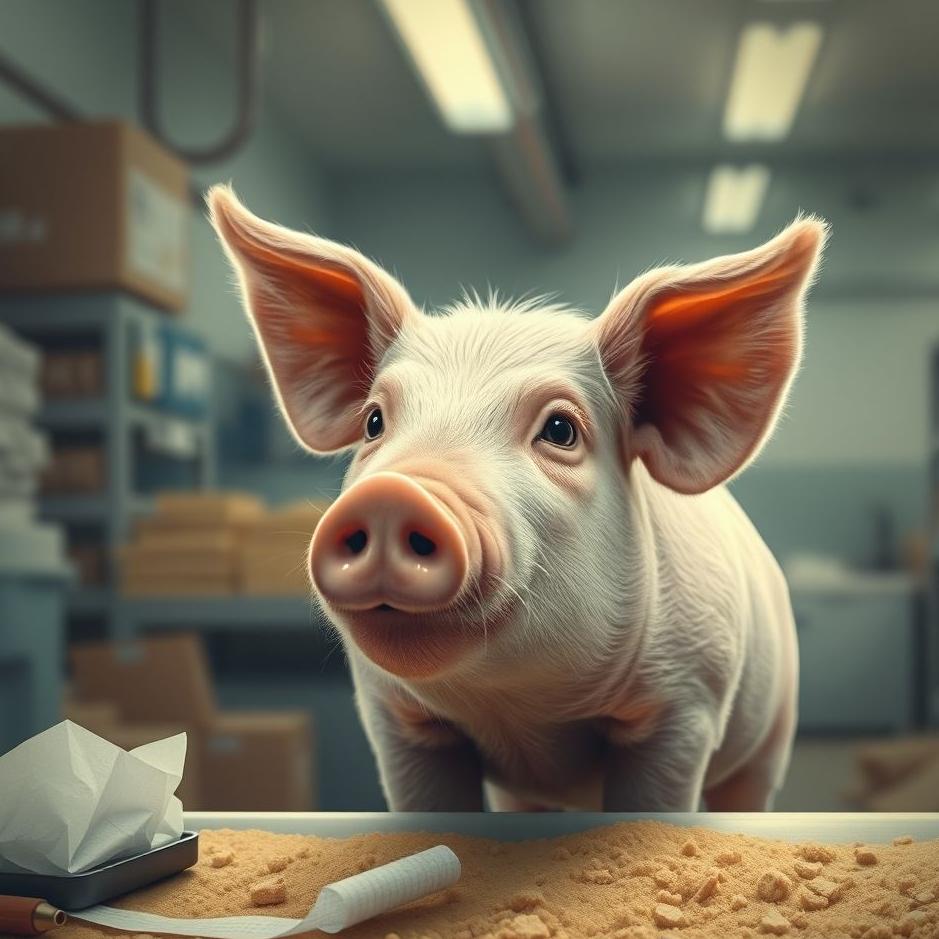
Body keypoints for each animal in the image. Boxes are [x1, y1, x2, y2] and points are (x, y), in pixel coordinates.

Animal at [208, 184, 827, 813]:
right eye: (375, 421)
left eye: (560, 430)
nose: (392, 492)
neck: (526, 717)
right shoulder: (397, 718)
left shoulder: (687, 701)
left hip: (775, 726)